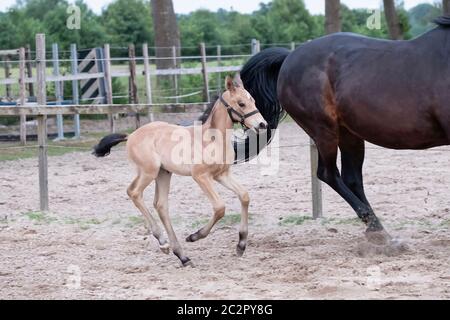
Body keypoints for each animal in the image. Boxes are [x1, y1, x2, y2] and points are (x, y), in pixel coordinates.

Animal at [92, 76, 268, 266]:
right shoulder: (200, 176)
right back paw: (163, 241)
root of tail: (131, 135)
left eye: (254, 101)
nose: (263, 124)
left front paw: (241, 244)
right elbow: (220, 207)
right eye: (241, 103)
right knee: (134, 192)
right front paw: (195, 236)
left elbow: (244, 196)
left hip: (163, 173)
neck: (212, 139)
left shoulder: (222, 175)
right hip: (149, 172)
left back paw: (180, 255)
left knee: (160, 204)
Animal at [241, 16, 450, 248]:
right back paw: (377, 231)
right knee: (328, 173)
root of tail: (289, 57)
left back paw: (379, 231)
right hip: (324, 130)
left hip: (350, 134)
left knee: (352, 178)